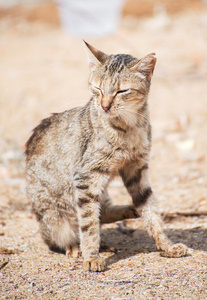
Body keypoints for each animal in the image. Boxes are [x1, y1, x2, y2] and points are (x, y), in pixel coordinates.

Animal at [25, 42, 188, 272]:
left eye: (122, 91)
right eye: (98, 88)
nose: (104, 106)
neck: (129, 126)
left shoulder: (136, 168)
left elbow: (150, 211)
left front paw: (166, 245)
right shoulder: (86, 176)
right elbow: (89, 223)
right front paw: (91, 256)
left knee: (104, 210)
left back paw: (129, 210)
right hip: (56, 216)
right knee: (70, 227)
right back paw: (75, 246)